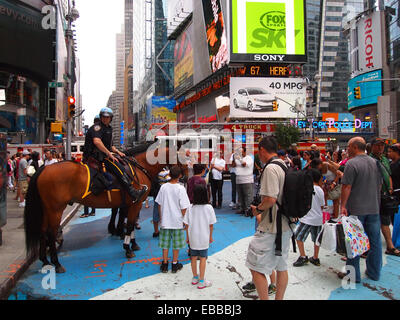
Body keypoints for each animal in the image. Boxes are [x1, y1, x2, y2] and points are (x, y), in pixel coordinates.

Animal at [24, 144, 187, 272]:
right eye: (182, 158)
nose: (185, 176)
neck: (141, 166)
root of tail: (44, 169)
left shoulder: (131, 204)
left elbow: (129, 224)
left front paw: (132, 243)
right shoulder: (136, 202)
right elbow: (129, 225)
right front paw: (128, 248)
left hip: (47, 209)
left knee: (43, 230)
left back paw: (45, 261)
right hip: (56, 209)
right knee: (51, 233)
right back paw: (57, 263)